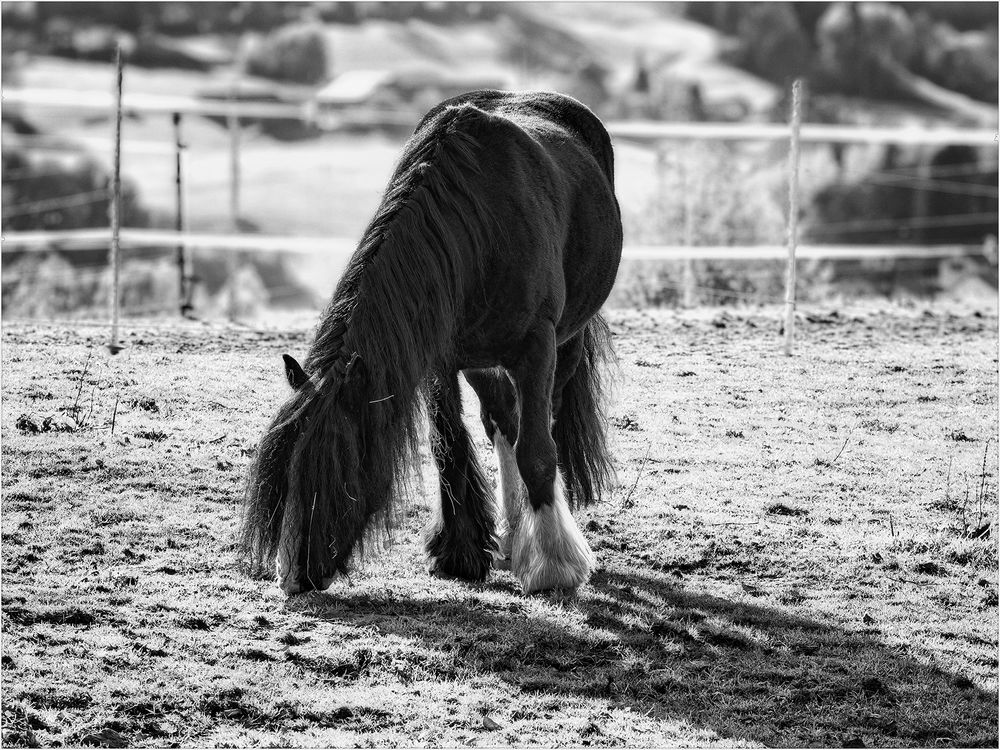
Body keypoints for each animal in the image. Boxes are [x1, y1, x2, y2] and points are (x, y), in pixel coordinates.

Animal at [239, 91, 620, 596]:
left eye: (338, 468)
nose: (294, 576)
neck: (480, 228)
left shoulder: (537, 349)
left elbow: (539, 451)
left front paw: (554, 567)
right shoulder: (440, 357)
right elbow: (448, 445)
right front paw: (460, 552)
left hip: (566, 342)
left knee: (542, 425)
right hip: (482, 360)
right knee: (502, 422)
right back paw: (513, 534)